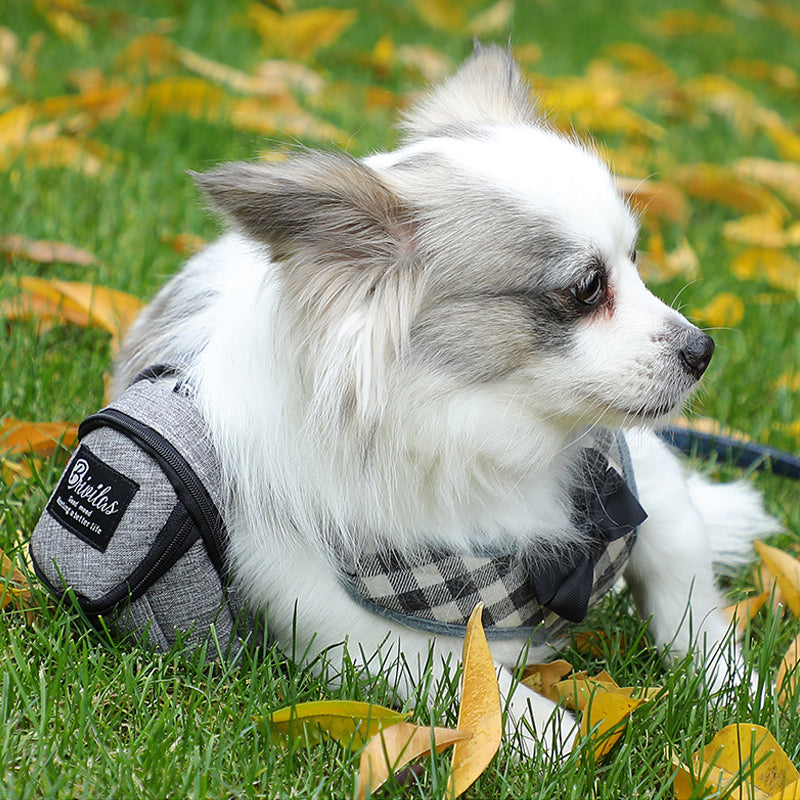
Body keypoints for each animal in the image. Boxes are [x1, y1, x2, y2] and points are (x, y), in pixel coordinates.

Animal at [112, 47, 776, 760]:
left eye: (635, 260)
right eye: (588, 287)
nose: (703, 349)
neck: (491, 434)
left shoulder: (641, 479)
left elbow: (685, 591)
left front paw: (738, 696)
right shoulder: (360, 633)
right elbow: (487, 692)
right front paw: (559, 739)